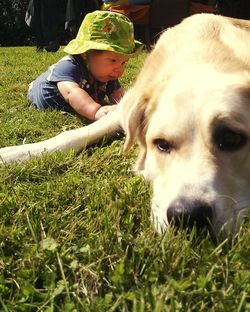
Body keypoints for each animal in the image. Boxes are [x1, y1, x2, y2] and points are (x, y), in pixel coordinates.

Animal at [0, 13, 250, 235]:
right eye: (161, 144)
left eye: (231, 139)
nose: (188, 216)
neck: (205, 61)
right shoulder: (127, 104)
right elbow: (72, 135)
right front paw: (16, 153)